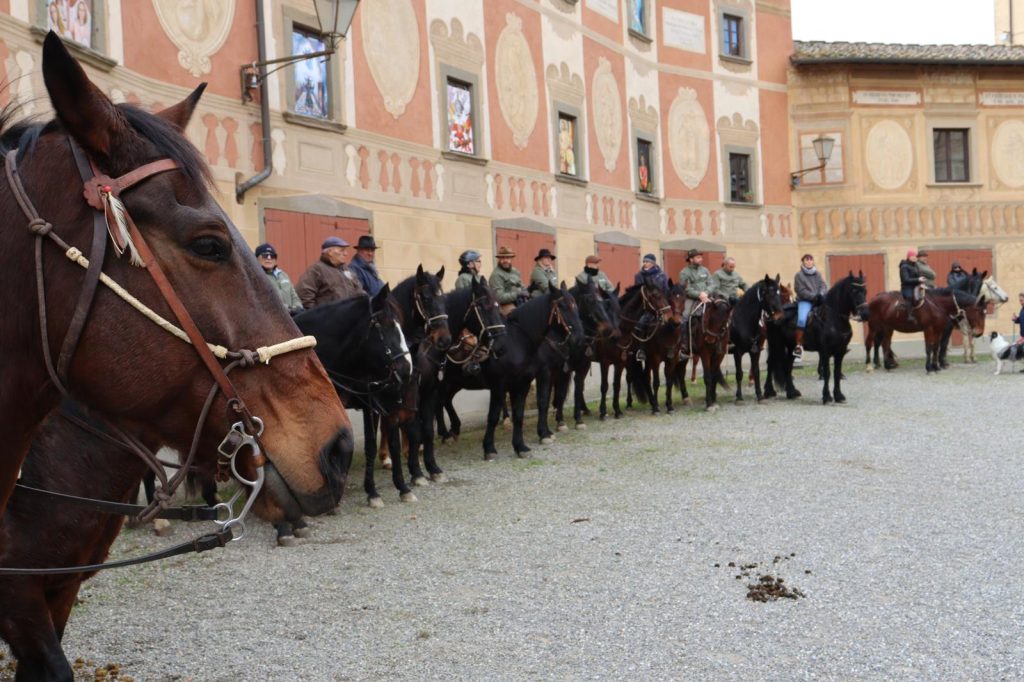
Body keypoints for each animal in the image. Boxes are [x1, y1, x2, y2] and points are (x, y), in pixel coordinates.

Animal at [438, 282, 585, 456]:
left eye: (576, 305)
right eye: (562, 306)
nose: (580, 338)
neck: (517, 341)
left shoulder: (527, 381)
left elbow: (523, 412)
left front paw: (525, 443)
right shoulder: (502, 384)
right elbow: (494, 415)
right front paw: (489, 447)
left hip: (454, 383)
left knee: (444, 401)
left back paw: (452, 430)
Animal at [802, 268, 868, 401]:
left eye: (865, 291)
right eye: (853, 291)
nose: (864, 314)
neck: (834, 319)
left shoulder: (840, 350)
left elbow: (837, 372)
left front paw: (838, 395)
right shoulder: (825, 351)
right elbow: (828, 372)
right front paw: (826, 396)